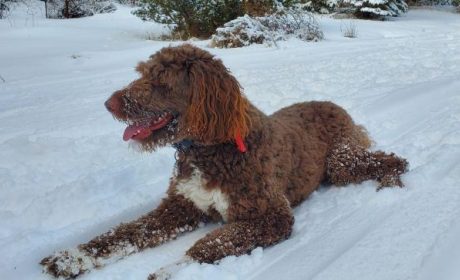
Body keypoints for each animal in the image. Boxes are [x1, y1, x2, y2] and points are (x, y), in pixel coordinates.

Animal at [41, 43, 408, 278]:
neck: (208, 149)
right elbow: (123, 233)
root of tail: (332, 104)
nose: (109, 104)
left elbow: (210, 244)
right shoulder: (180, 206)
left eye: (161, 81)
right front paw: (69, 258)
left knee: (395, 160)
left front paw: (170, 270)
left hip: (341, 163)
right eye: (142, 73)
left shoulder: (272, 216)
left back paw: (391, 183)